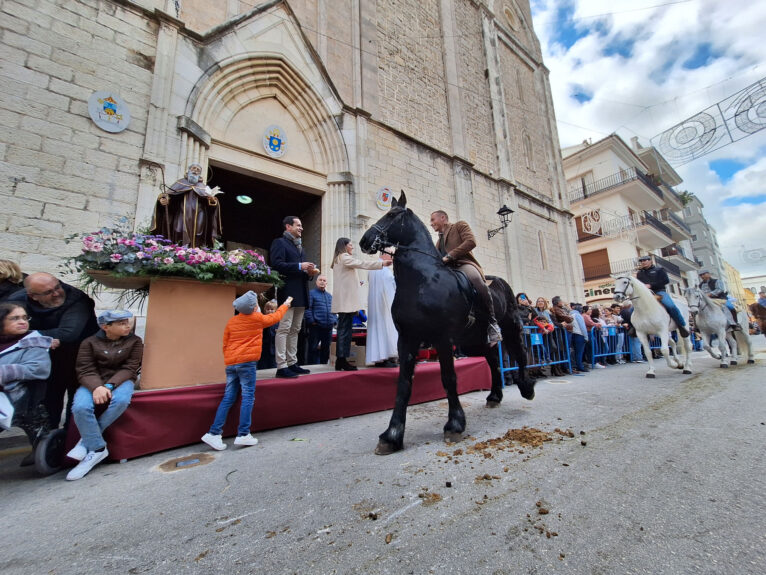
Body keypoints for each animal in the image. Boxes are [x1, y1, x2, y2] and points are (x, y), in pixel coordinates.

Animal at [360, 192, 536, 454]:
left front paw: (454, 425)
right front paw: (392, 435)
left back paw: (526, 387)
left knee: (520, 353)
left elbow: (448, 378)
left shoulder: (443, 338)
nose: (365, 240)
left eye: (391, 215)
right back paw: (494, 396)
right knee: (494, 362)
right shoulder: (407, 339)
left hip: (511, 327)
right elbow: (404, 384)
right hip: (477, 339)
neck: (422, 280)